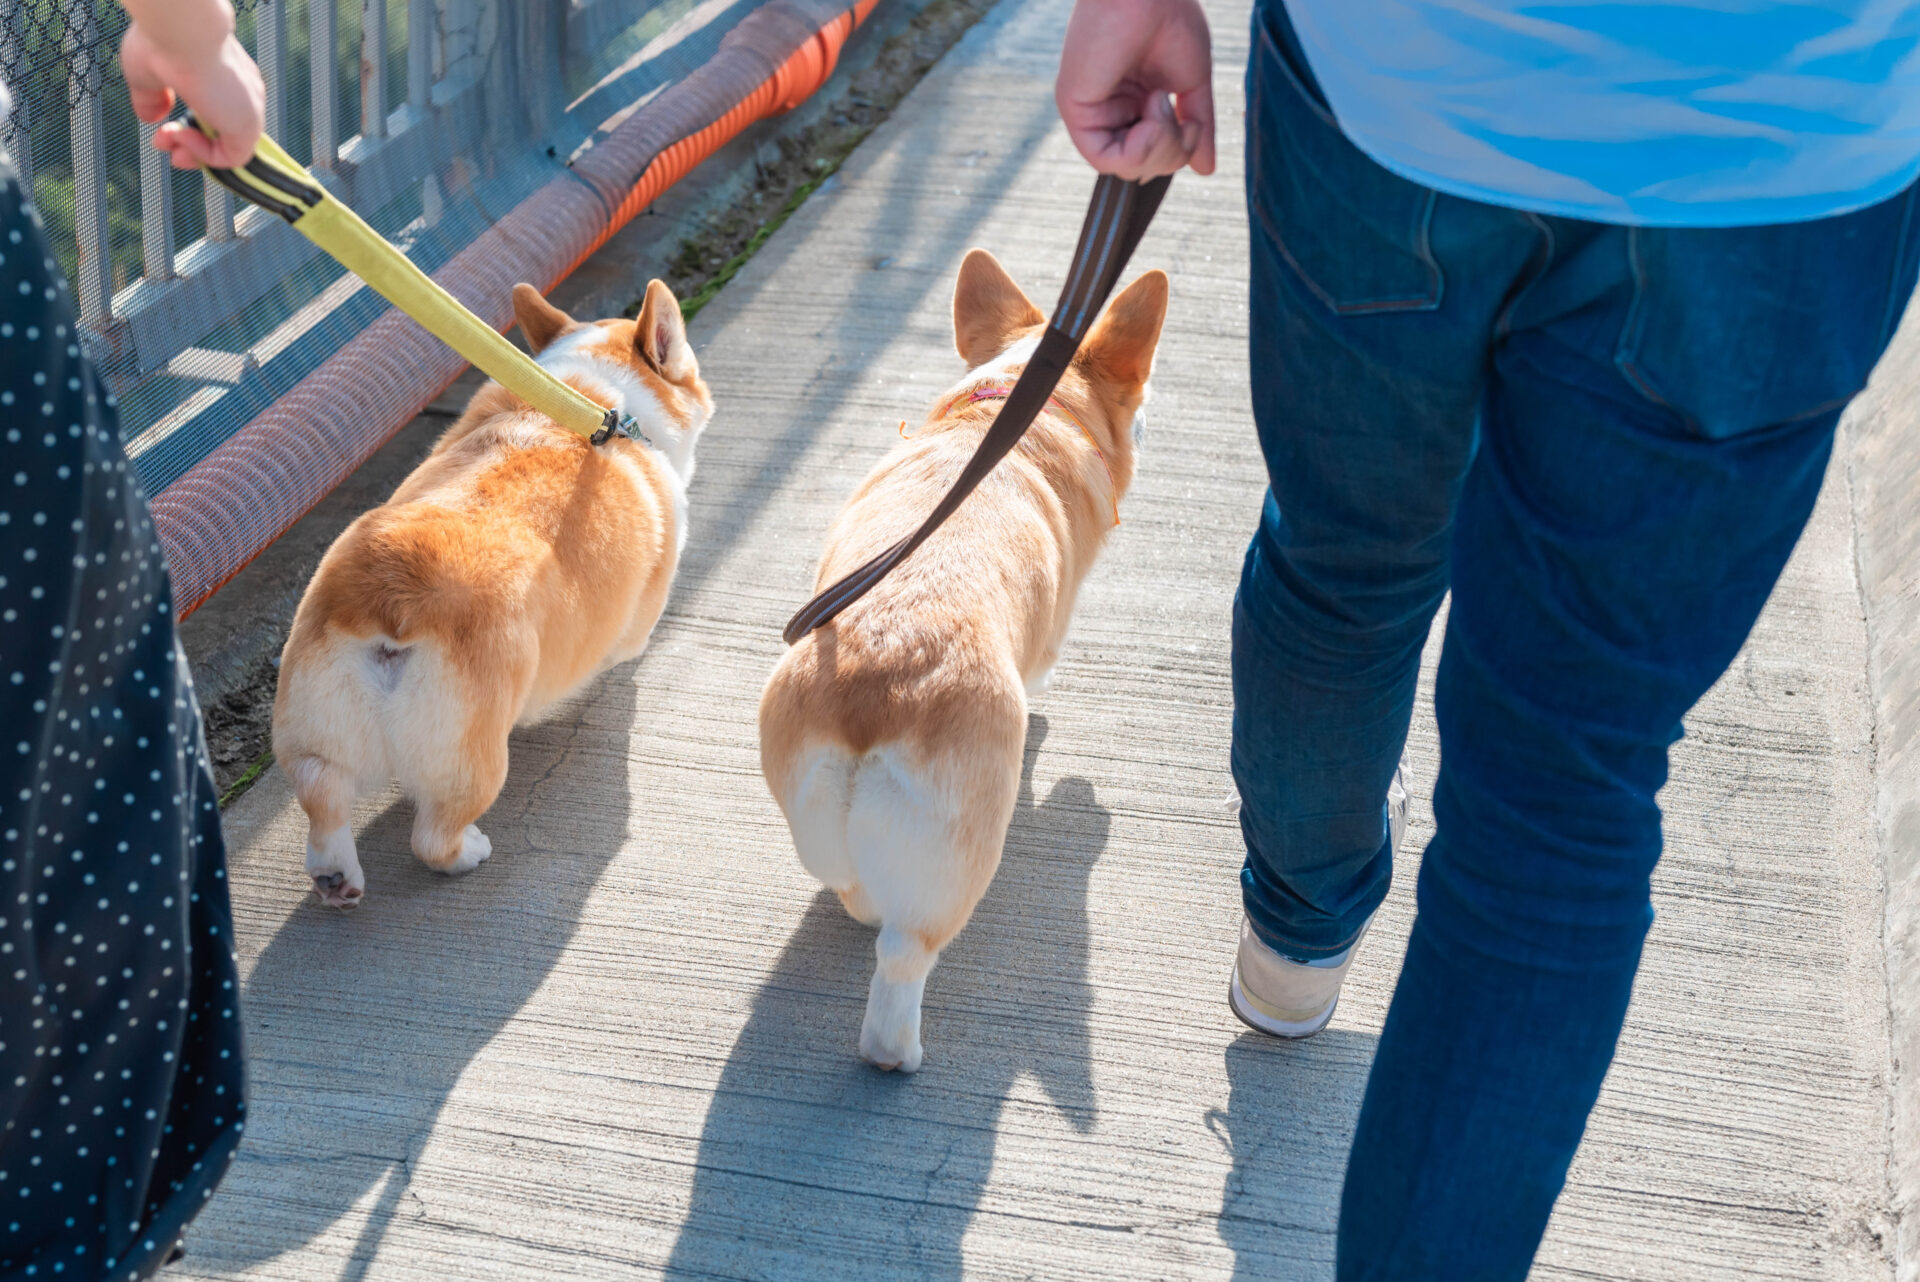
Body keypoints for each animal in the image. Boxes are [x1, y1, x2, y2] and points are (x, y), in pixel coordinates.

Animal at [272, 282, 714, 902]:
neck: (595, 396)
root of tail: (389, 598)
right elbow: (630, 645)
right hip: (472, 759)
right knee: (432, 837)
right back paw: (468, 853)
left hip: (314, 733)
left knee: (322, 796)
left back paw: (337, 879)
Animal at [756, 249, 1159, 1074]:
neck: (1010, 411)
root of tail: (868, 693)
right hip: (959, 858)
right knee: (904, 961)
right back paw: (898, 1054)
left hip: (813, 819)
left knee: (853, 889)